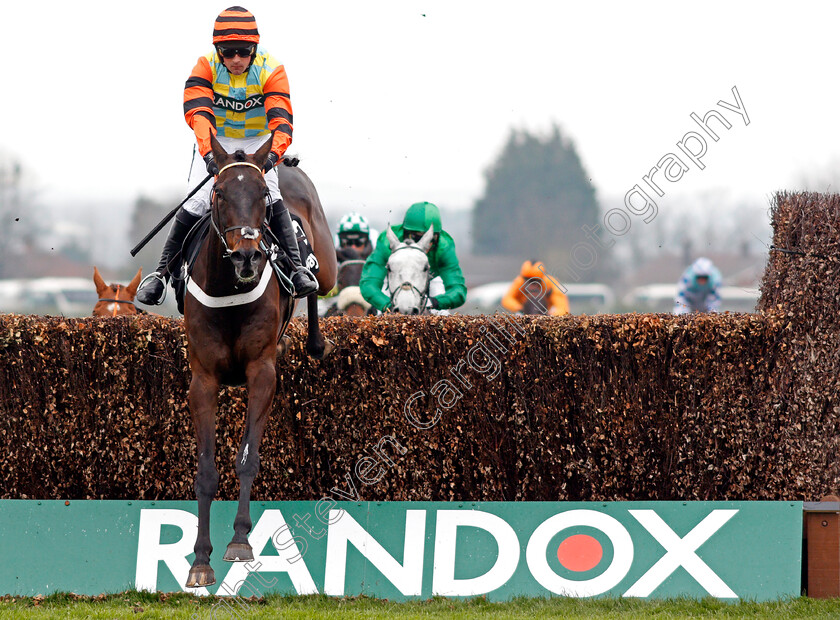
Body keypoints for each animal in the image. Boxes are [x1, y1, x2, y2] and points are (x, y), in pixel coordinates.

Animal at [185, 134, 336, 588]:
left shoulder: (261, 374)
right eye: (218, 192)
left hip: (328, 264)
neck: (229, 290)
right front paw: (200, 560)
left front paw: (240, 540)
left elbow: (247, 459)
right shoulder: (203, 380)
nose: (248, 257)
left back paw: (314, 334)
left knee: (316, 284)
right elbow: (206, 471)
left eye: (262, 196)